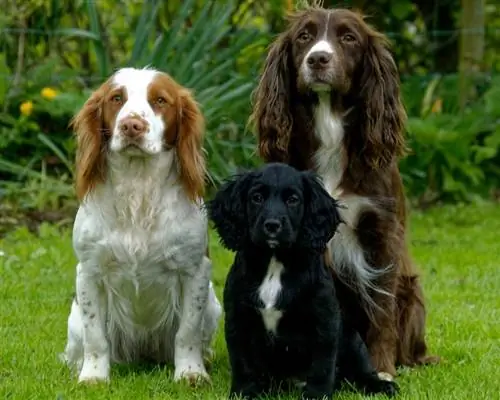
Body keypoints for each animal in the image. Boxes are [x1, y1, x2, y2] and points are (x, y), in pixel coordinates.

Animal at [206, 163, 398, 400]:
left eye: (293, 199)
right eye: (256, 197)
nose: (272, 225)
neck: (275, 262)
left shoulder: (324, 320)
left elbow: (321, 365)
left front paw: (316, 394)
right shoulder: (238, 317)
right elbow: (242, 362)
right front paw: (245, 392)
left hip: (352, 338)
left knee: (362, 370)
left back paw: (382, 385)